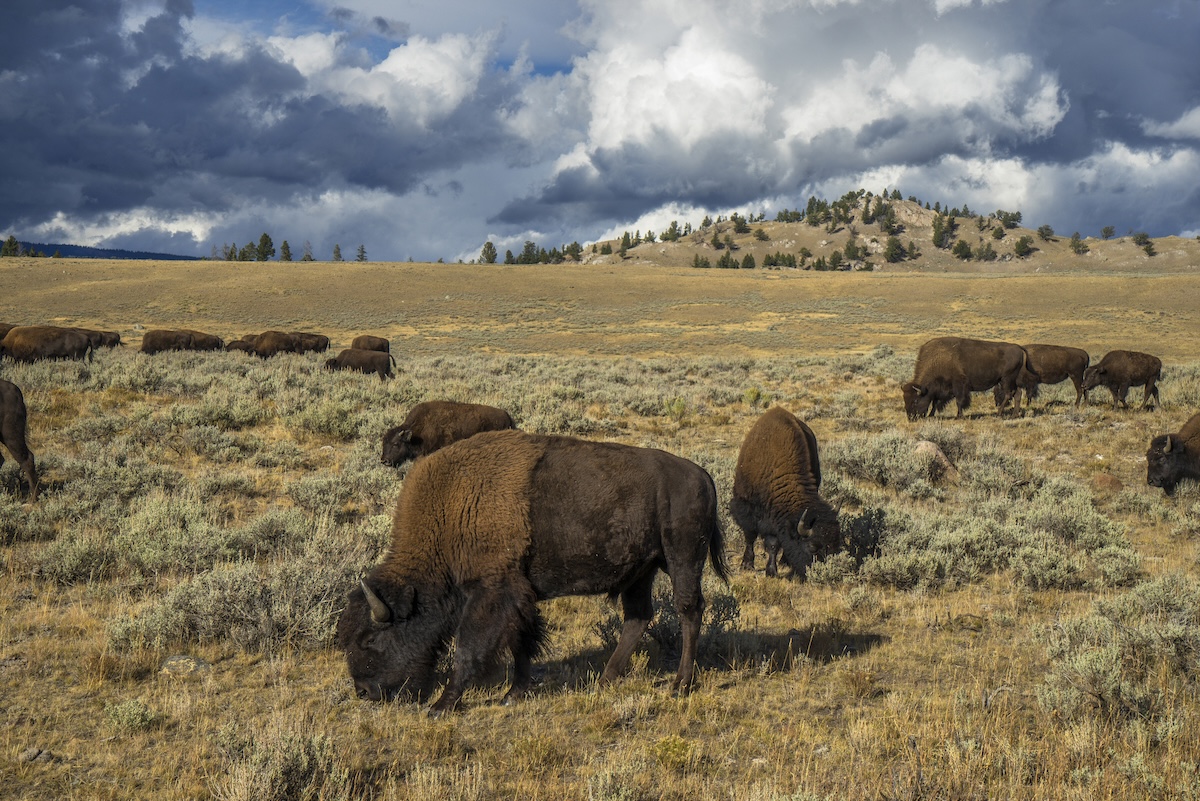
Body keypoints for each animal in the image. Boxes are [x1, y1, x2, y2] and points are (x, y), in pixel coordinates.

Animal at [338, 430, 729, 712]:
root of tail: (702, 475)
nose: (364, 691)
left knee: (688, 609)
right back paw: (605, 679)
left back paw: (680, 685)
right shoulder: (520, 595)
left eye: (370, 639)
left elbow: (470, 648)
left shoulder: (493, 592)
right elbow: (521, 642)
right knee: (638, 617)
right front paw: (513, 693)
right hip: (640, 570)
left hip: (682, 559)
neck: (452, 508)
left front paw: (442, 705)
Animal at [732, 407, 841, 578]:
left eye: (836, 545)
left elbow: (774, 543)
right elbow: (751, 535)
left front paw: (771, 570)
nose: (822, 573)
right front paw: (748, 565)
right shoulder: (746, 508)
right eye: (812, 547)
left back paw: (785, 561)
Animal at [902, 336, 1038, 420]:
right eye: (905, 400)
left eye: (915, 400)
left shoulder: (959, 385)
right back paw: (1014, 415)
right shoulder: (940, 390)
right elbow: (935, 402)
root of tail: (1019, 348)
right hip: (1013, 380)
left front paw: (959, 416)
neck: (938, 359)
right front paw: (931, 415)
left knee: (1009, 394)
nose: (911, 418)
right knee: (1017, 394)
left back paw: (999, 413)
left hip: (1006, 379)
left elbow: (959, 401)